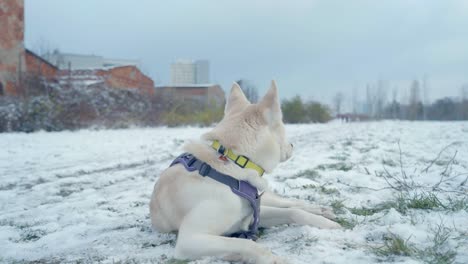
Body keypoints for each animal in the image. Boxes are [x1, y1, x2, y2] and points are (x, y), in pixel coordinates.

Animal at [150, 81, 340, 262]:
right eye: (283, 127)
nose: (293, 145)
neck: (234, 163)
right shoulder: (190, 239)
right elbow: (248, 244)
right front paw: (271, 259)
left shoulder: (252, 214)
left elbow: (294, 212)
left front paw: (325, 223)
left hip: (264, 201)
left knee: (290, 203)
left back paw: (320, 210)